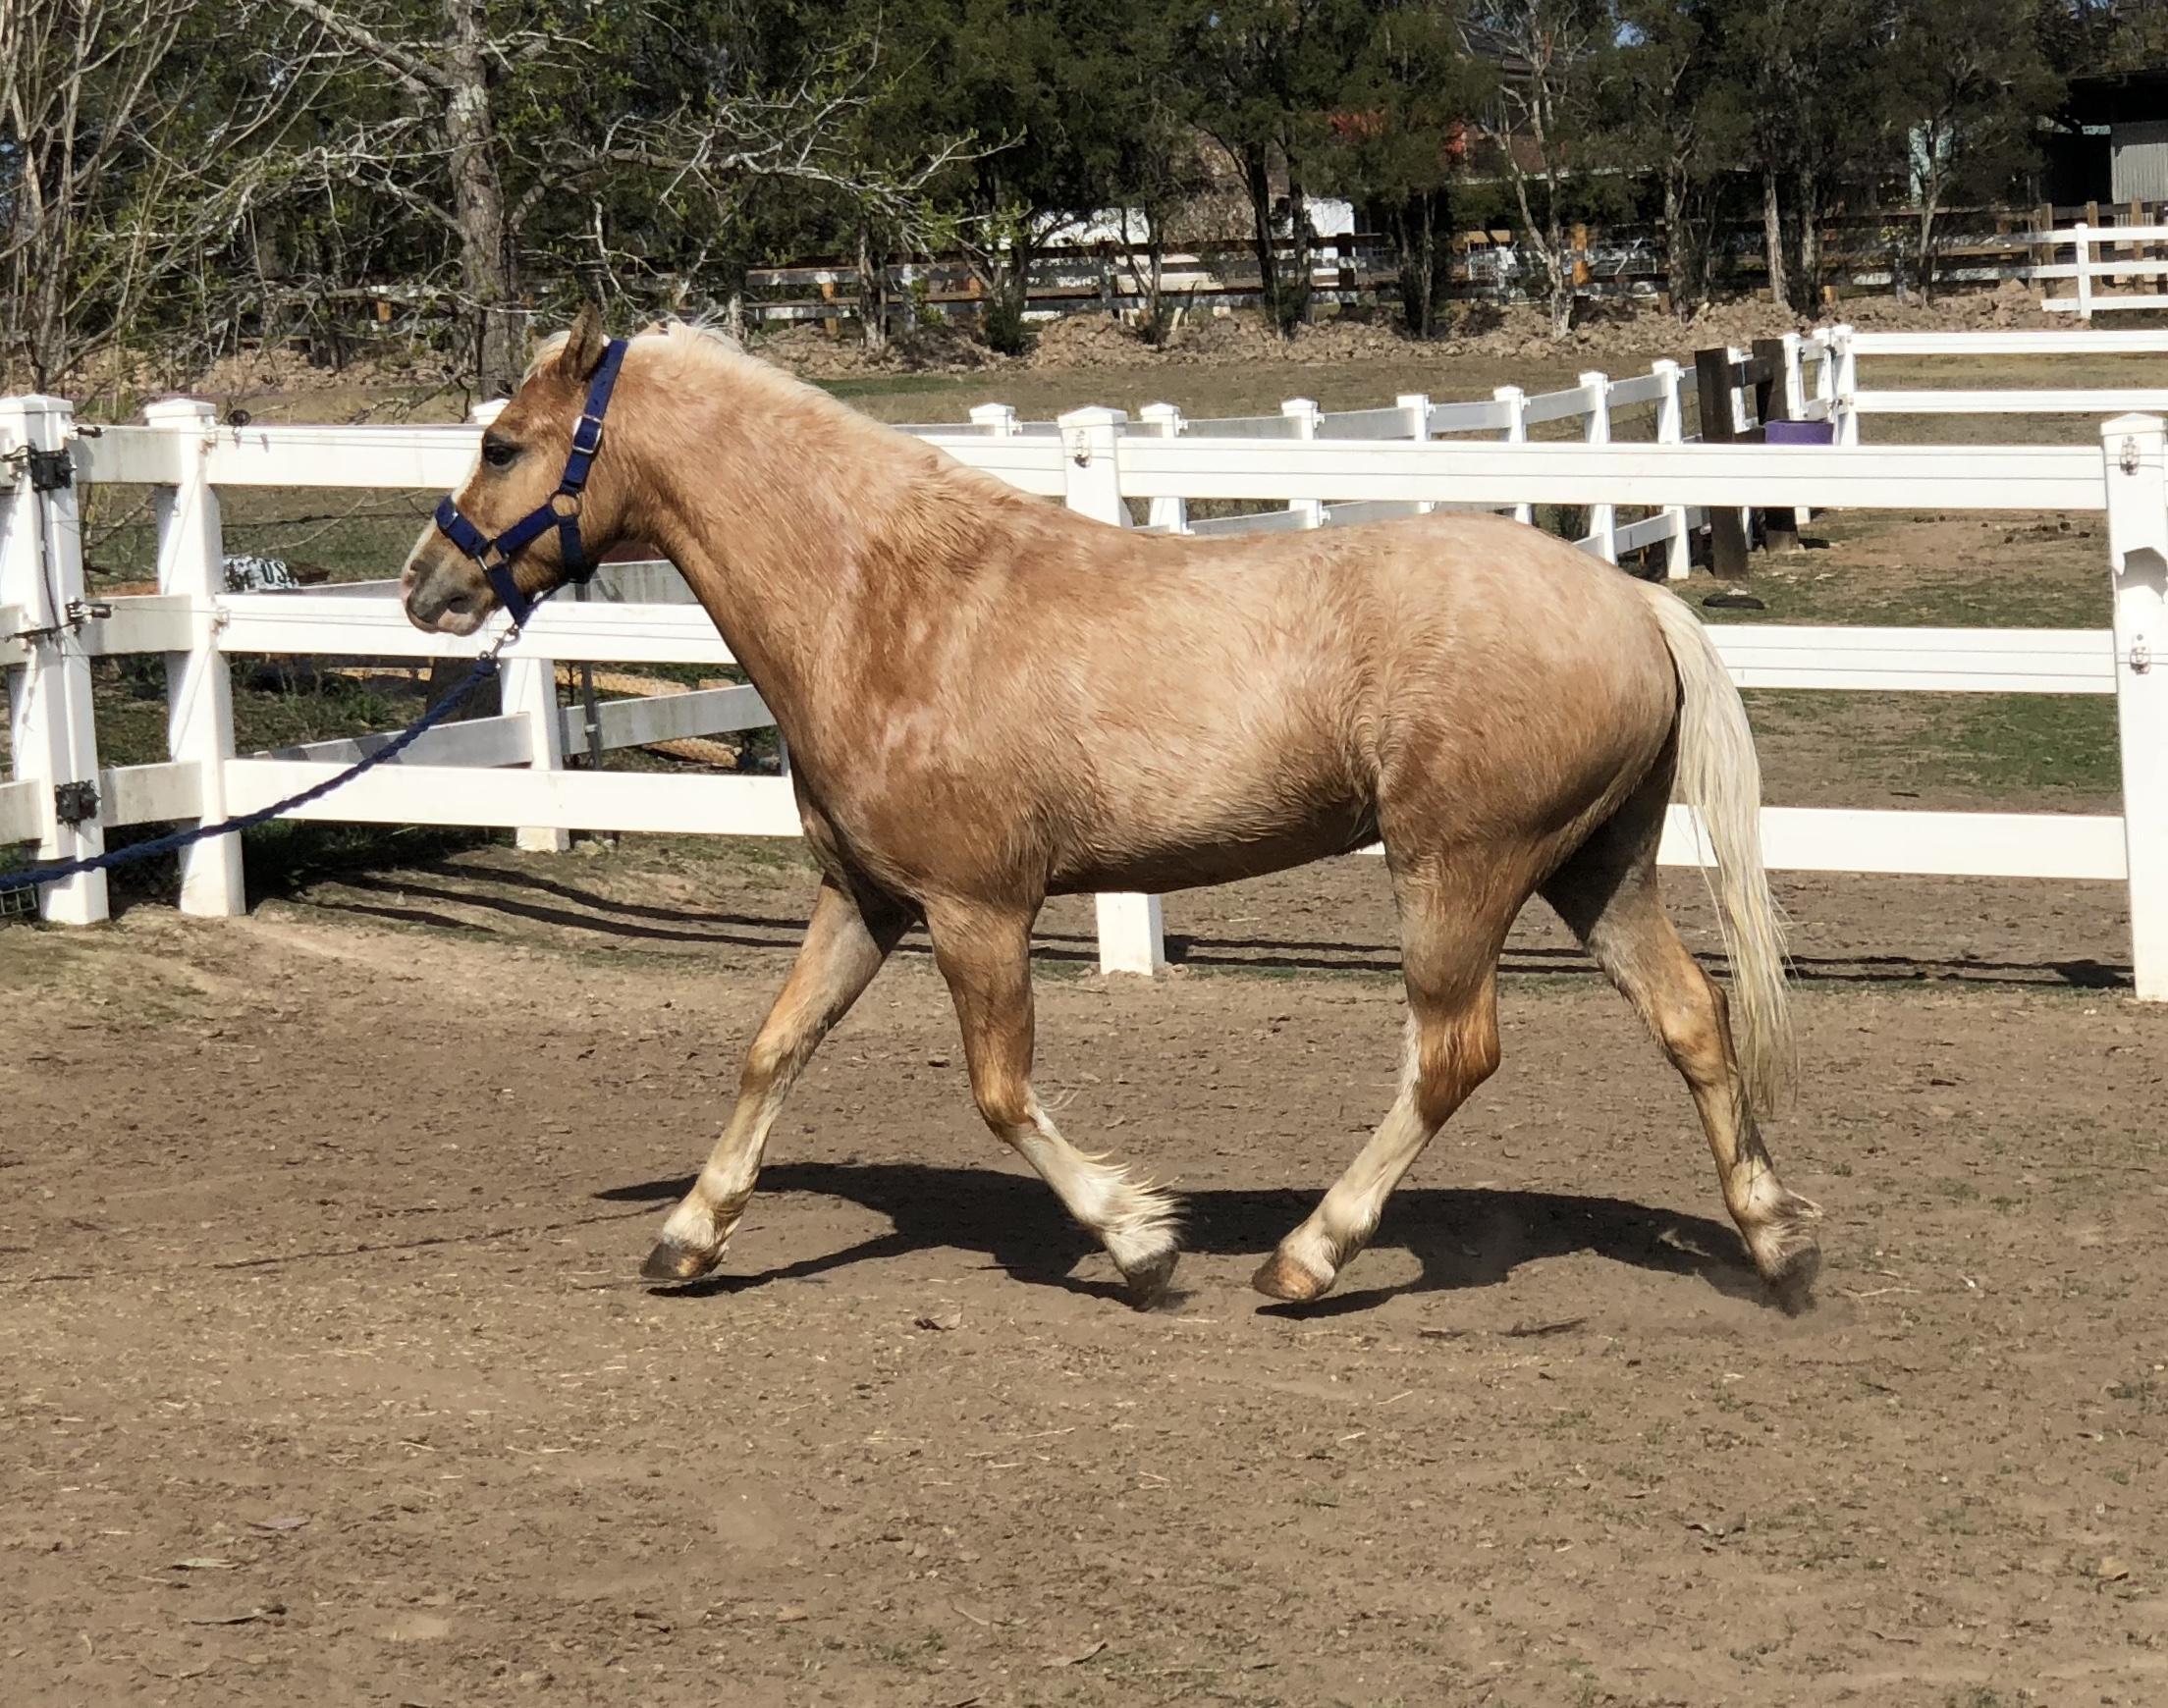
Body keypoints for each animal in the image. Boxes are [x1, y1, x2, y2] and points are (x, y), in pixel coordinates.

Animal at [400, 308, 1822, 1311]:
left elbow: (998, 1091)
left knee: (1452, 1055)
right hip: (1595, 870)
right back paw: (1775, 1245)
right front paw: (688, 1236)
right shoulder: (866, 899)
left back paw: (1306, 1257)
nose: (424, 587)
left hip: (1458, 868)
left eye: (502, 443)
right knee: (1693, 1022)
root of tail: (1633, 599)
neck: (889, 603)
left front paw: (1140, 1243)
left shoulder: (978, 908)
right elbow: (774, 1047)